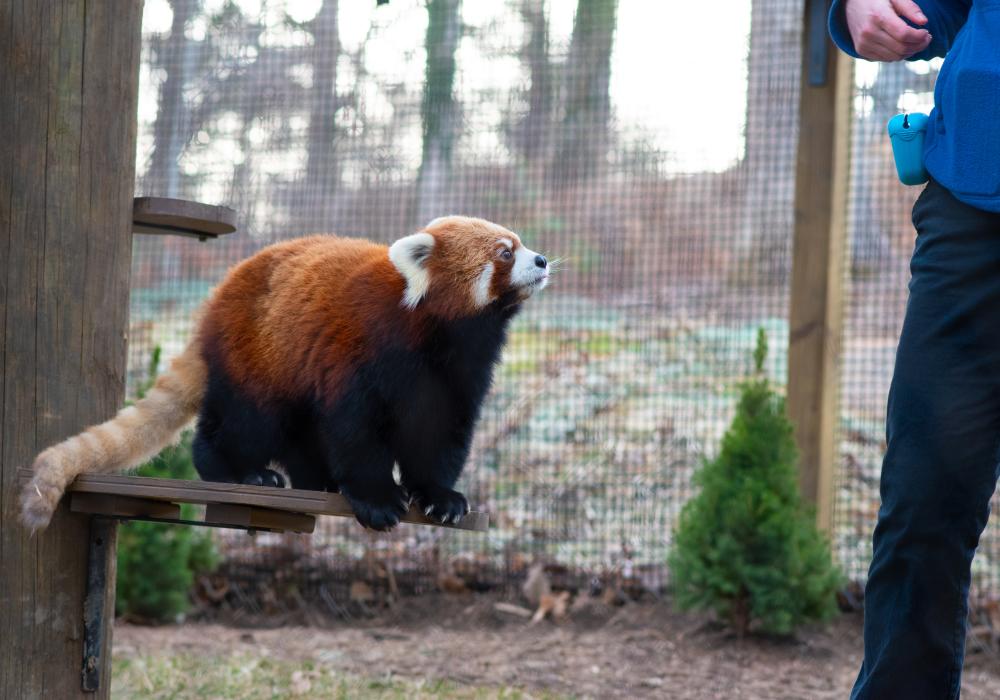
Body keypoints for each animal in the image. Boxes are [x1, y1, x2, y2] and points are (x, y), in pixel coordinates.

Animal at [19, 216, 552, 528]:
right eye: (505, 252)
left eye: (521, 244)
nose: (543, 259)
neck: (437, 332)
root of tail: (214, 303)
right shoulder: (362, 349)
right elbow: (356, 428)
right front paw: (378, 498)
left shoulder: (460, 371)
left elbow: (440, 434)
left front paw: (440, 496)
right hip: (258, 356)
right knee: (244, 422)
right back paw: (240, 472)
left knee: (300, 431)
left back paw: (316, 481)